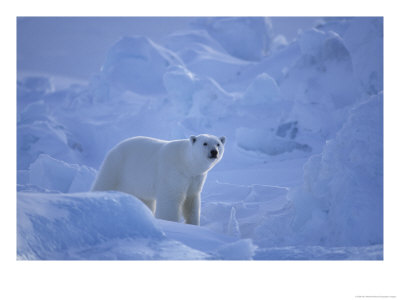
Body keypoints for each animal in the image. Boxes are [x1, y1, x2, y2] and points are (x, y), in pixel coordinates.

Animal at [92, 134, 227, 225]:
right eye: (205, 143)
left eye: (218, 144)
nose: (214, 152)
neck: (186, 162)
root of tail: (115, 147)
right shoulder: (172, 173)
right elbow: (171, 199)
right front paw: (170, 222)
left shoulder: (195, 178)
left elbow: (191, 201)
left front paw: (193, 224)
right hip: (116, 166)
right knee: (104, 183)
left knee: (145, 200)